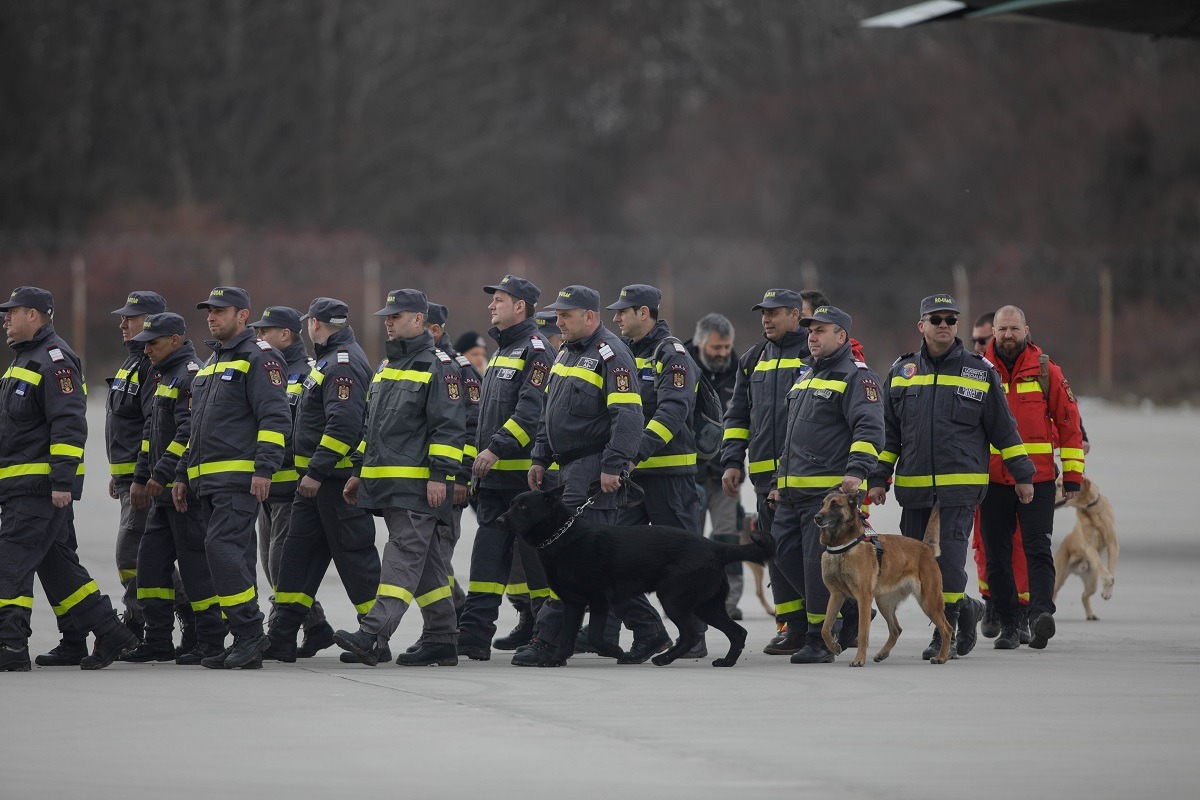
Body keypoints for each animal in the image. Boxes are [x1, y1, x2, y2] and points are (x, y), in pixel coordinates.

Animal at [499, 484, 772, 666]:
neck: (561, 535)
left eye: (523, 506)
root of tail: (713, 546)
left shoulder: (599, 602)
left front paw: (615, 651)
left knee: (691, 635)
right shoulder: (573, 604)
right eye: (511, 504)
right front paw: (556, 660)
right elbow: (565, 637)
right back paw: (726, 662)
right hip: (706, 605)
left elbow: (595, 636)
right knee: (737, 633)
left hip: (673, 599)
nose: (500, 519)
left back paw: (664, 658)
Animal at [816, 491, 955, 666]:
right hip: (884, 602)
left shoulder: (864, 598)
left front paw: (859, 659)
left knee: (947, 628)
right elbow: (825, 628)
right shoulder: (836, 595)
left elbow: (863, 632)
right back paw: (882, 653)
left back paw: (942, 657)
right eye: (822, 504)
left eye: (835, 505)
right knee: (896, 629)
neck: (842, 546)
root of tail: (926, 548)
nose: (816, 517)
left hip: (928, 601)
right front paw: (834, 647)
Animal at [1056, 474, 1118, 618]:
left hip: (1091, 582)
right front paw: (1107, 579)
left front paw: (1107, 591)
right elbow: (1100, 564)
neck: (1091, 510)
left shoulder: (1113, 544)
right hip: (1058, 577)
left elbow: (1110, 568)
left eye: (1059, 485)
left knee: (1084, 595)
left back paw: (1091, 615)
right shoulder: (1090, 547)